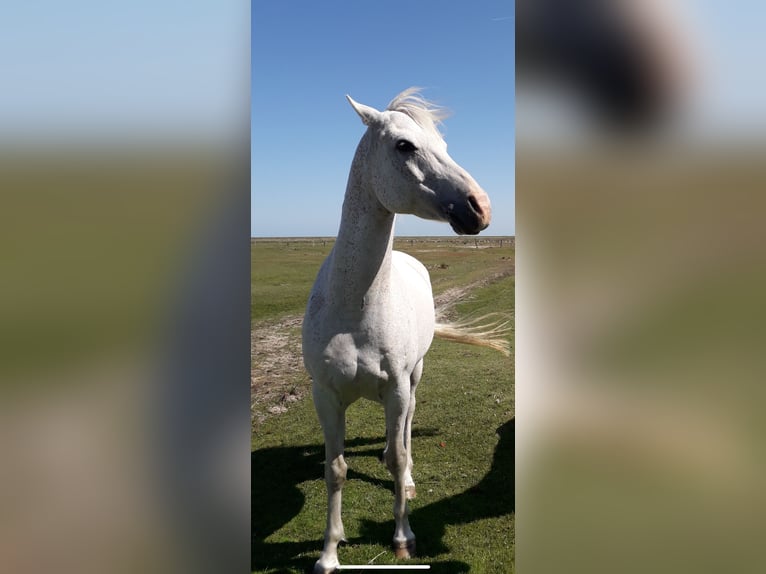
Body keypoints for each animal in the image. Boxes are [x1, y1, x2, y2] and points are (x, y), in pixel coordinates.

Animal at [302, 88, 510, 572]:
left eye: (445, 146)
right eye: (404, 145)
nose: (480, 207)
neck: (354, 308)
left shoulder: (396, 386)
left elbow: (398, 457)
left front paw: (403, 536)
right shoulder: (325, 395)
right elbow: (334, 470)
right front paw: (328, 553)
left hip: (414, 376)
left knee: (409, 426)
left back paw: (410, 479)